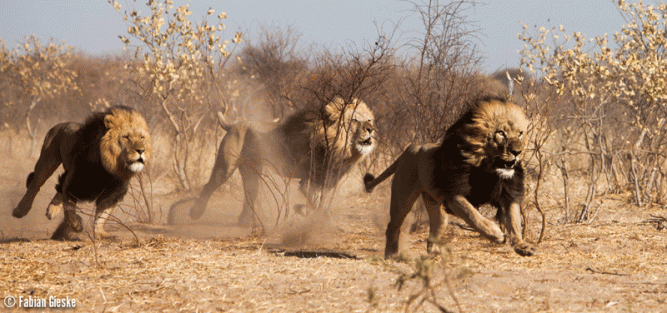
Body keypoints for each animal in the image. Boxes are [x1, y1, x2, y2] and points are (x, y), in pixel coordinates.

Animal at [12, 105, 151, 239]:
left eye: (142, 137)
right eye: (126, 137)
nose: (141, 150)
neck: (110, 168)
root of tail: (61, 124)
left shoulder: (113, 192)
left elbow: (102, 215)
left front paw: (101, 234)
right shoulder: (74, 184)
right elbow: (69, 209)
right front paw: (76, 225)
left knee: (59, 188)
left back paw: (52, 210)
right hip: (47, 160)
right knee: (35, 185)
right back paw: (20, 210)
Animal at [185, 96, 376, 225]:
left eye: (368, 120)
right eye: (354, 120)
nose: (371, 129)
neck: (340, 146)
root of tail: (234, 123)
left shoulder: (326, 178)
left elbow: (319, 200)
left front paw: (307, 213)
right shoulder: (309, 180)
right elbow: (316, 202)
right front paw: (311, 215)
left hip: (251, 171)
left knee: (250, 193)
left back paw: (245, 221)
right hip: (225, 166)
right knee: (208, 186)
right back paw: (195, 212)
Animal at [366, 96, 536, 258]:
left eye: (520, 134)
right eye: (501, 133)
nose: (517, 152)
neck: (488, 171)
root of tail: (411, 147)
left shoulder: (508, 195)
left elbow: (514, 221)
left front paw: (522, 245)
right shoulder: (454, 195)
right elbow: (473, 216)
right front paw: (496, 234)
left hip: (436, 207)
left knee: (433, 235)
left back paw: (436, 254)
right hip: (402, 199)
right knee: (393, 226)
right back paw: (391, 254)